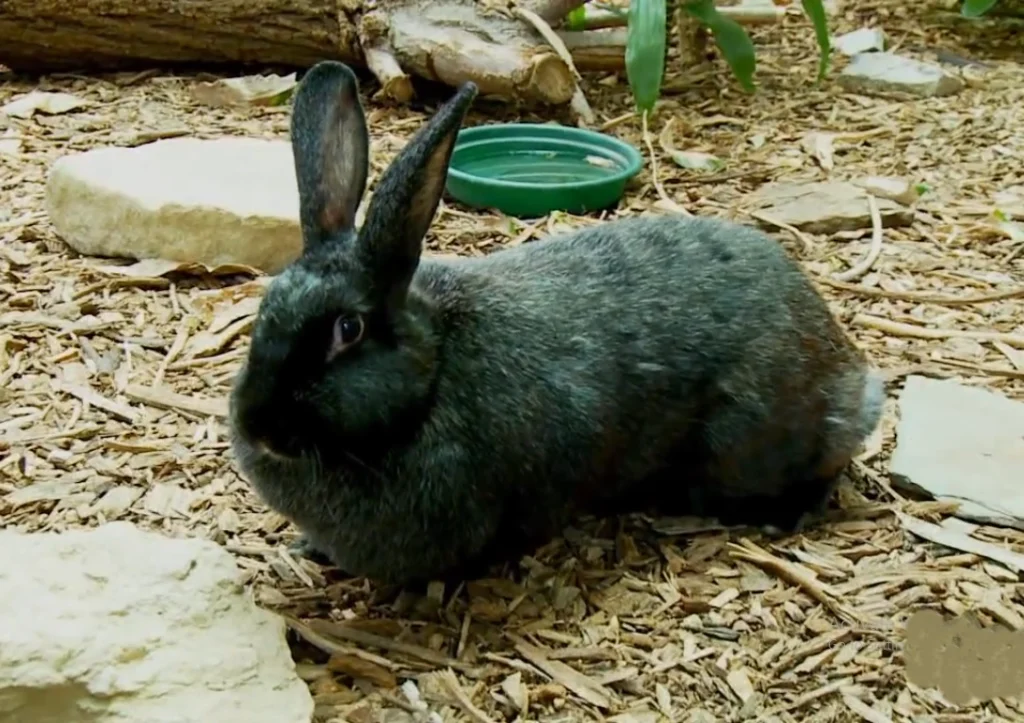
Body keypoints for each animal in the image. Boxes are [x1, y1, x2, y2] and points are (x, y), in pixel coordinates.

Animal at [228, 60, 886, 587]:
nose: (258, 426)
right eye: (266, 309)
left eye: (349, 331)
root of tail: (848, 365)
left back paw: (784, 515)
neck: (433, 368)